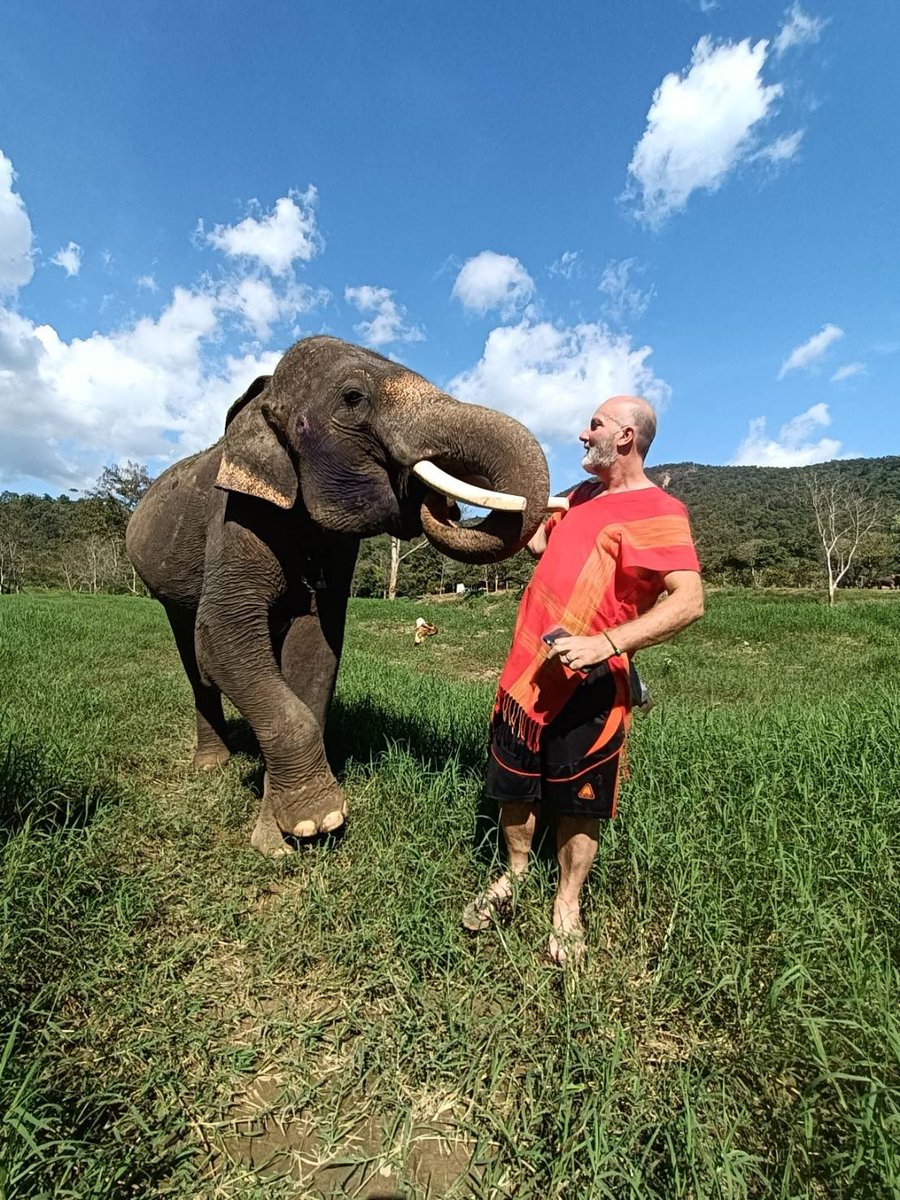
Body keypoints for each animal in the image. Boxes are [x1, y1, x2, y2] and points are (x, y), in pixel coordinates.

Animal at [126, 335, 550, 855]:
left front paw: (284, 835)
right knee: (194, 654)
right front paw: (314, 820)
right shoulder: (235, 514)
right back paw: (212, 764)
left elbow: (316, 646)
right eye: (352, 398)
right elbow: (222, 635)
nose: (441, 503)